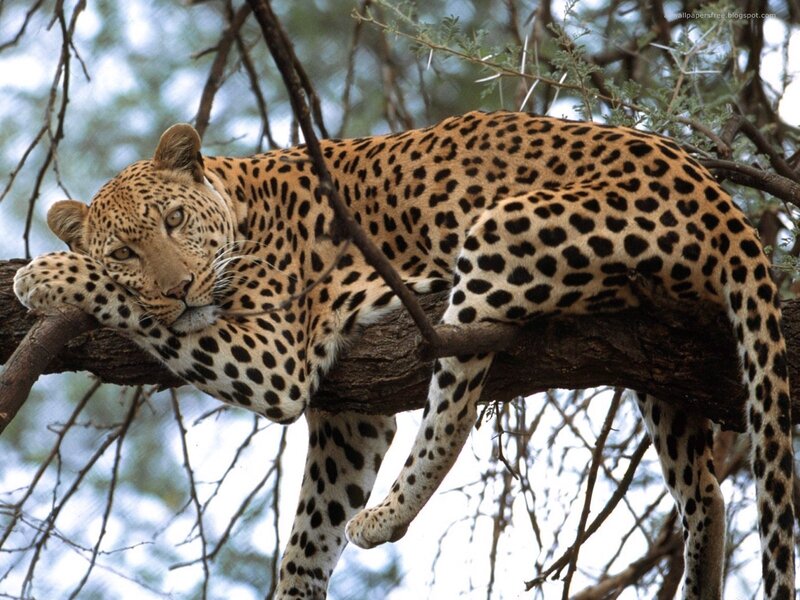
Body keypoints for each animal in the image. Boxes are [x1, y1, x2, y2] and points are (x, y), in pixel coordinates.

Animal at [13, 110, 795, 599]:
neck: (240, 203)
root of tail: (721, 200)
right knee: (706, 490)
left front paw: (45, 275)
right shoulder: (348, 417)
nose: (178, 289)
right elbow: (308, 534)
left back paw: (387, 516)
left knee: (454, 408)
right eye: (125, 250)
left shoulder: (275, 359)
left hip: (501, 233)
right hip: (662, 364)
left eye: (175, 220)